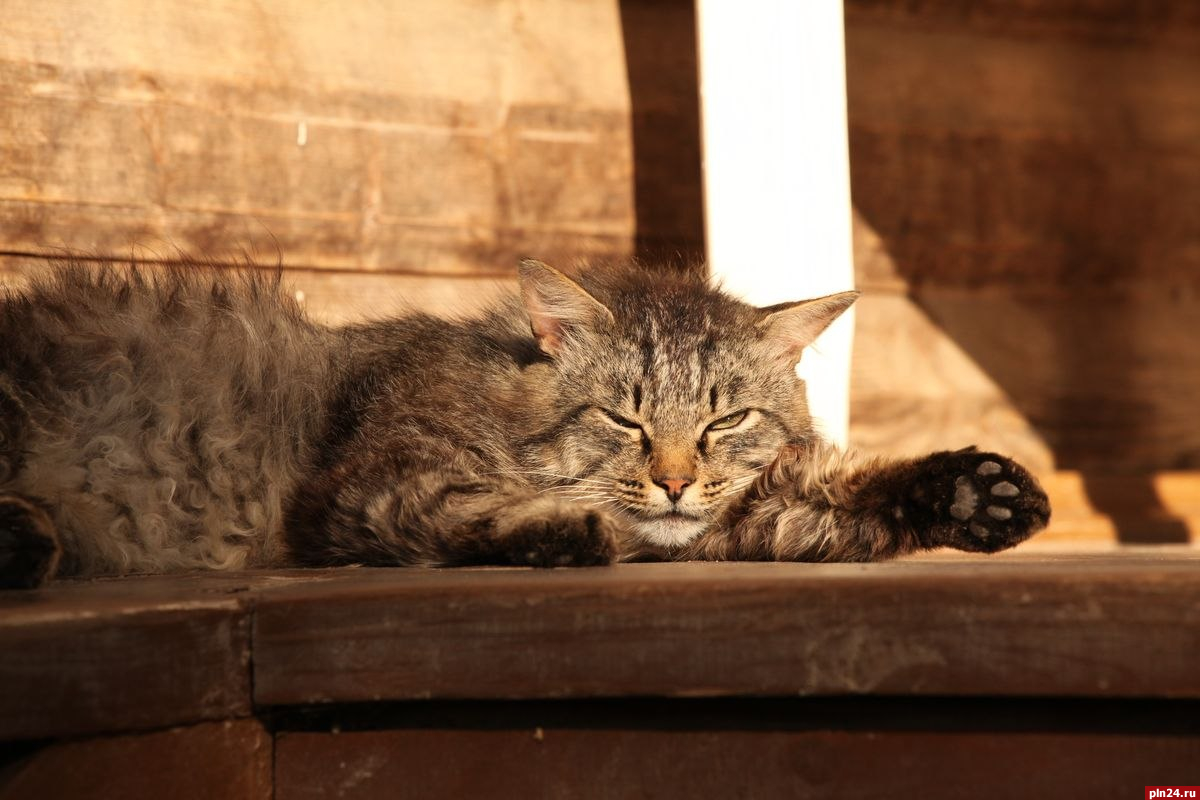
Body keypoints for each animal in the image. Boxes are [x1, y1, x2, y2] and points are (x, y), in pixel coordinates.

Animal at [0, 261, 1051, 587]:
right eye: (625, 418)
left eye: (725, 421)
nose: (675, 480)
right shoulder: (368, 488)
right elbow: (475, 514)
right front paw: (568, 530)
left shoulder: (740, 517)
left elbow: (834, 504)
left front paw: (972, 491)